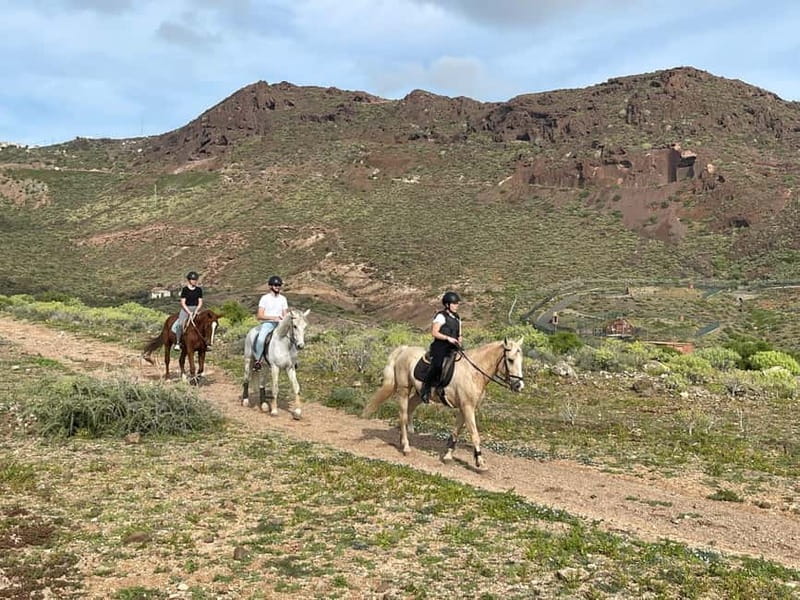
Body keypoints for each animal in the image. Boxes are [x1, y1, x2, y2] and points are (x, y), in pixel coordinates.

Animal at [362, 337, 524, 470]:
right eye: (510, 360)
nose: (519, 386)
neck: (473, 372)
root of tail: (405, 350)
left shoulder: (464, 408)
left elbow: (456, 431)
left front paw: (447, 456)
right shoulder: (467, 407)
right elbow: (475, 434)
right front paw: (480, 462)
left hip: (420, 394)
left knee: (409, 410)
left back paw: (403, 440)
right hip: (404, 390)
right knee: (403, 415)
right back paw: (406, 447)